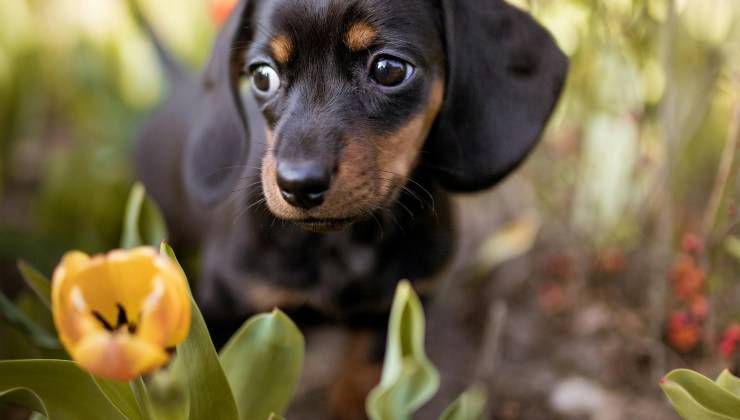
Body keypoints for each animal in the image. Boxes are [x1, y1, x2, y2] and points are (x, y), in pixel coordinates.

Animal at [133, 0, 568, 414]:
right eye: (261, 75)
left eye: (390, 69)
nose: (298, 185)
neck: (346, 242)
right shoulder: (223, 304)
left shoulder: (393, 311)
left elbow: (360, 382)